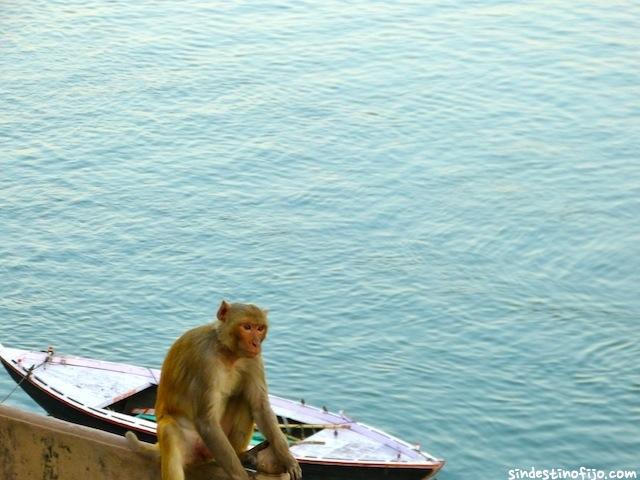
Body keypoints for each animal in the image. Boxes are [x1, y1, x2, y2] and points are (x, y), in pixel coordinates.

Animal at [129, 300, 304, 480]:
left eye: (260, 328)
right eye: (247, 327)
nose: (256, 343)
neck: (227, 352)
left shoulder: (254, 359)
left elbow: (259, 405)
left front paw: (287, 458)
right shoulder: (204, 360)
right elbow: (206, 421)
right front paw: (241, 476)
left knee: (243, 399)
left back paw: (240, 455)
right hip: (197, 445)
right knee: (170, 430)